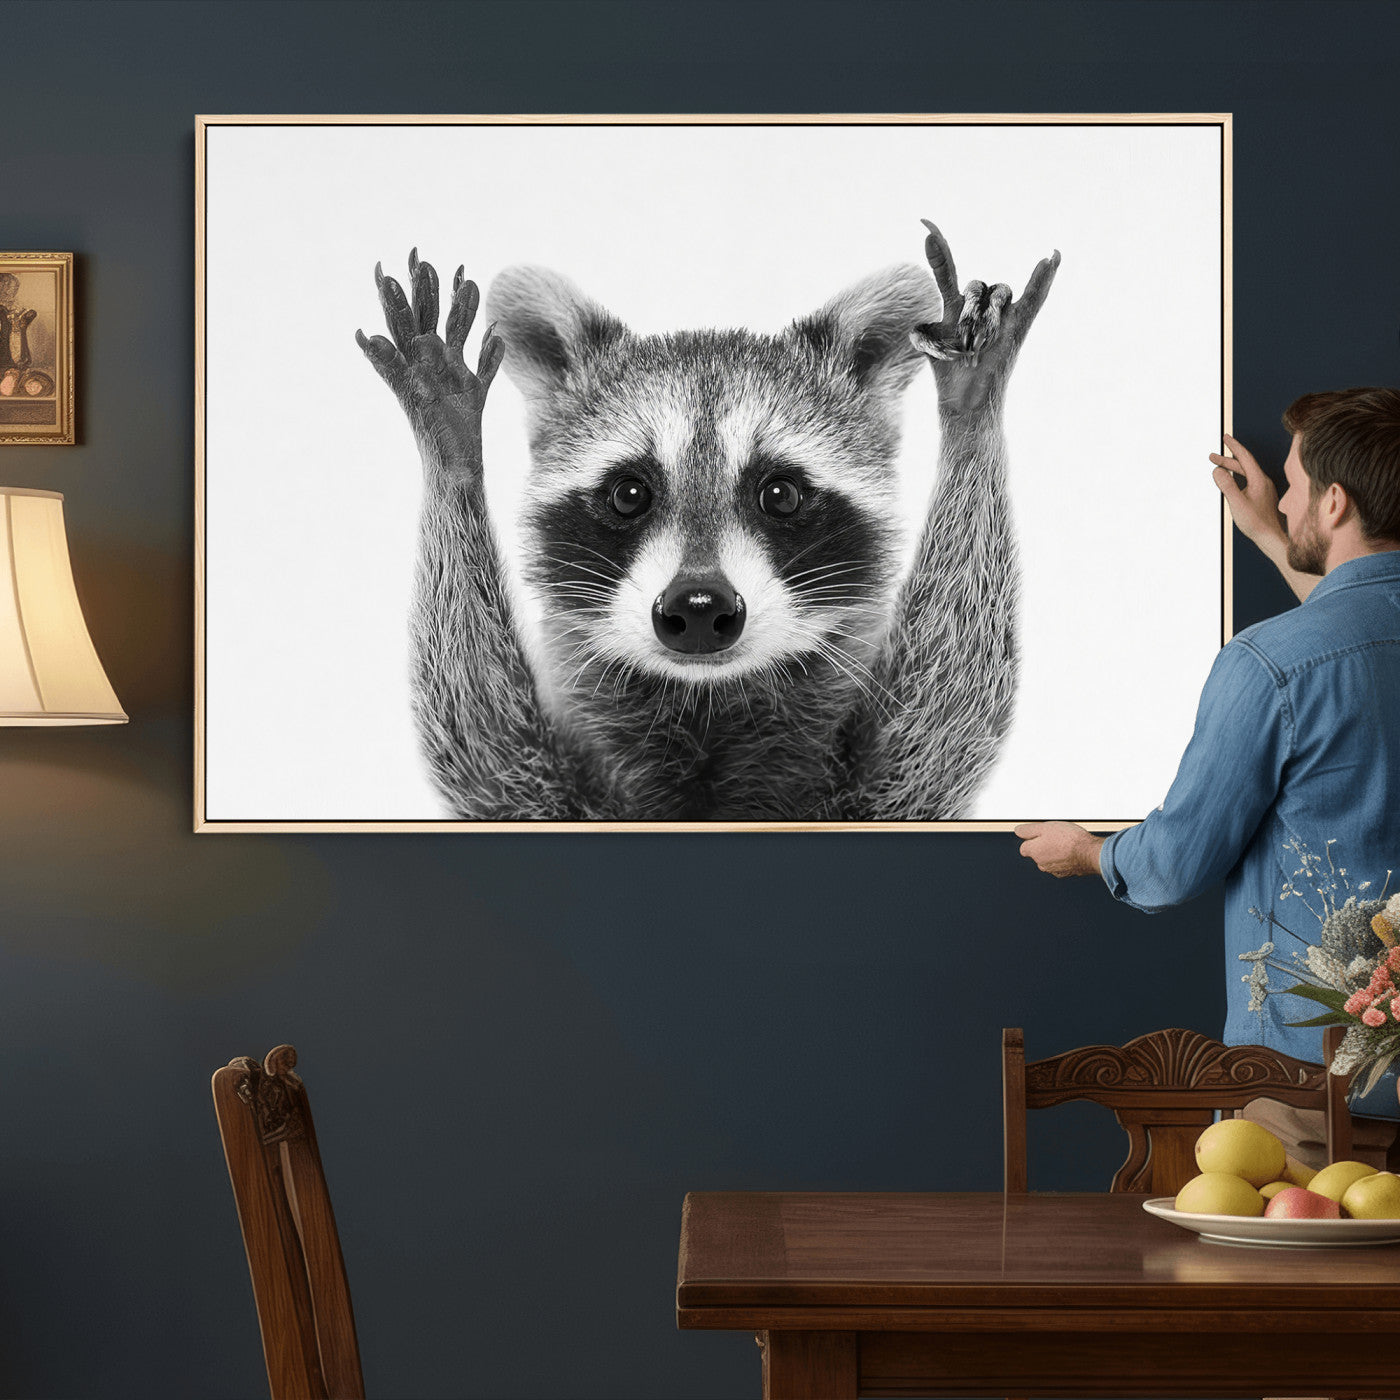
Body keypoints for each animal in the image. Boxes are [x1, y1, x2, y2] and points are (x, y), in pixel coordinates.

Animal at [356, 224, 1059, 821]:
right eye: (629, 494)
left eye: (780, 495)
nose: (698, 606)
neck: (705, 706)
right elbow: (481, 747)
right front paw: (450, 444)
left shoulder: (878, 790)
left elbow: (945, 717)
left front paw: (971, 408)